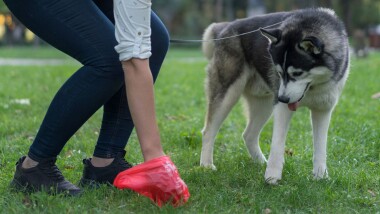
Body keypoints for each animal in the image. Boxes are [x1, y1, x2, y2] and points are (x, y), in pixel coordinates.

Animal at [200, 7, 348, 183]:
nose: (282, 98)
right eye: (279, 72)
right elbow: (277, 144)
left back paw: (260, 161)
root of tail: (226, 26)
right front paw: (272, 176)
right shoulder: (282, 108)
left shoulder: (323, 109)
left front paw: (321, 176)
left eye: (297, 73)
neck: (313, 88)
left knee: (248, 135)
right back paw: (206, 165)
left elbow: (320, 146)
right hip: (229, 94)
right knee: (208, 131)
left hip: (264, 104)